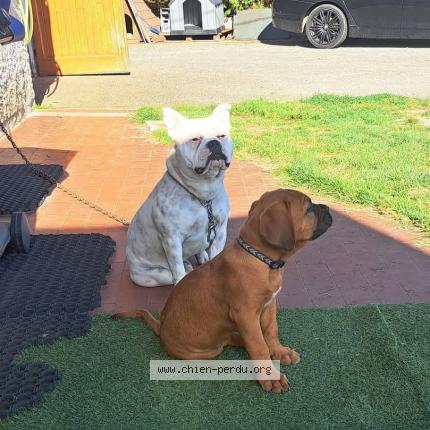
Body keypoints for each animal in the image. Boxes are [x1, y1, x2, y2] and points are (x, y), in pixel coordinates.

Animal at [114, 189, 332, 392]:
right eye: (309, 207)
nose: (329, 208)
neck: (262, 260)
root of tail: (161, 328)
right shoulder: (245, 314)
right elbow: (259, 346)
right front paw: (271, 377)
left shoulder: (269, 305)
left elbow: (271, 331)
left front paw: (280, 351)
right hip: (208, 352)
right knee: (230, 343)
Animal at [127, 104, 233, 287]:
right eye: (195, 139)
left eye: (222, 136)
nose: (214, 142)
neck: (202, 194)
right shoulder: (172, 240)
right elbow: (177, 269)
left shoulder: (219, 231)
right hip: (150, 276)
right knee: (176, 273)